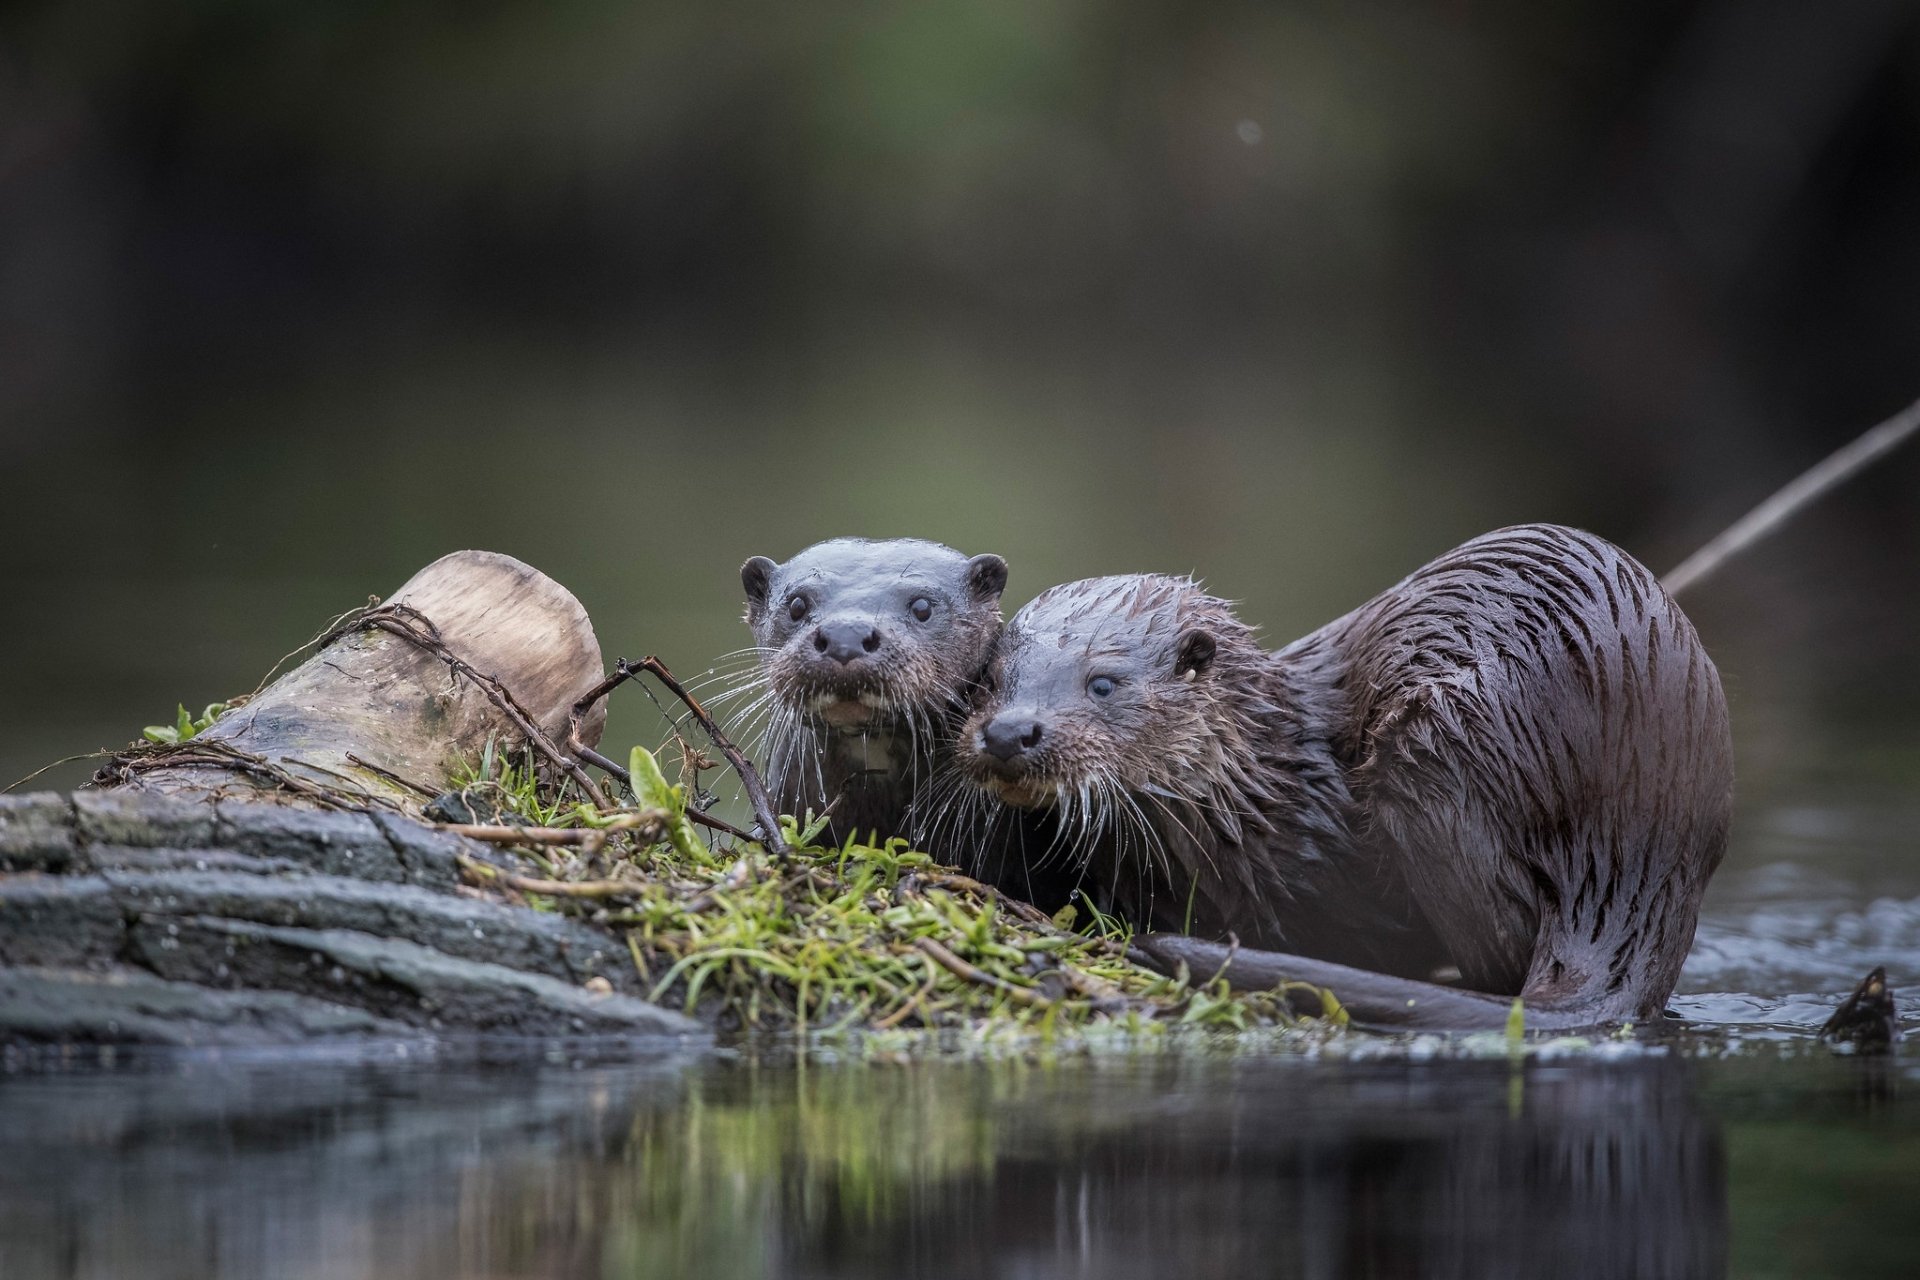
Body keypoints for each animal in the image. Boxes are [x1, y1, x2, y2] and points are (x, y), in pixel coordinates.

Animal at [945, 524, 1734, 1029]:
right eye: (990, 680)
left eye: (1103, 683)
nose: (1010, 732)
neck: (1267, 792)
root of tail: (1635, 842)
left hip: (1437, 753)